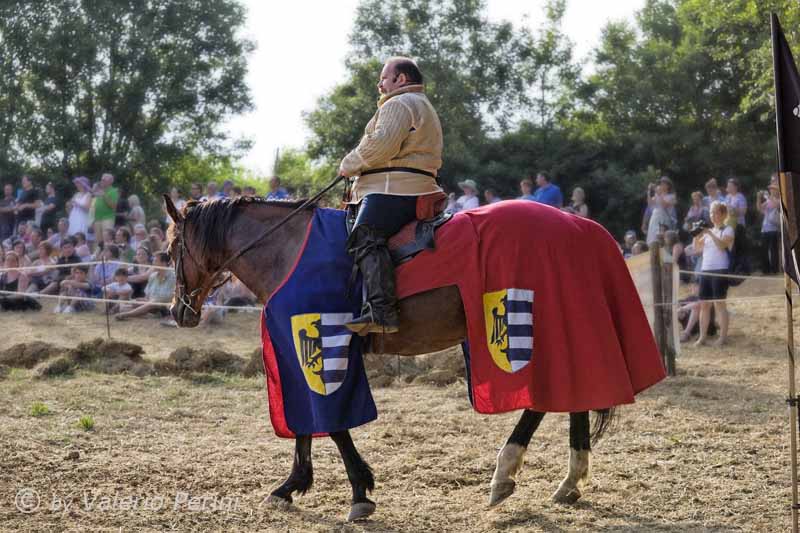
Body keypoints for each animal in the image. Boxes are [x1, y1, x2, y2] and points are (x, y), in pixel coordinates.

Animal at [162, 194, 612, 520]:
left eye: (169, 250)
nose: (178, 311)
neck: (287, 250)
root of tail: (578, 224)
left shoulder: (322, 348)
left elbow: (332, 423)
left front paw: (357, 492)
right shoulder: (300, 350)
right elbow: (308, 422)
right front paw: (293, 487)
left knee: (543, 402)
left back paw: (505, 474)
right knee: (574, 397)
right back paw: (569, 482)